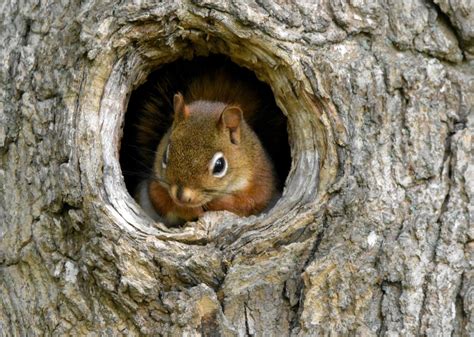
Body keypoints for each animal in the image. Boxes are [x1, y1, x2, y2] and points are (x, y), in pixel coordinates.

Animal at [134, 67, 278, 226]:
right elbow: (160, 199)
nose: (181, 196)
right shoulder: (156, 182)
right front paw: (189, 209)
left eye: (219, 165)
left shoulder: (260, 177)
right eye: (165, 156)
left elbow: (252, 201)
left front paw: (218, 204)